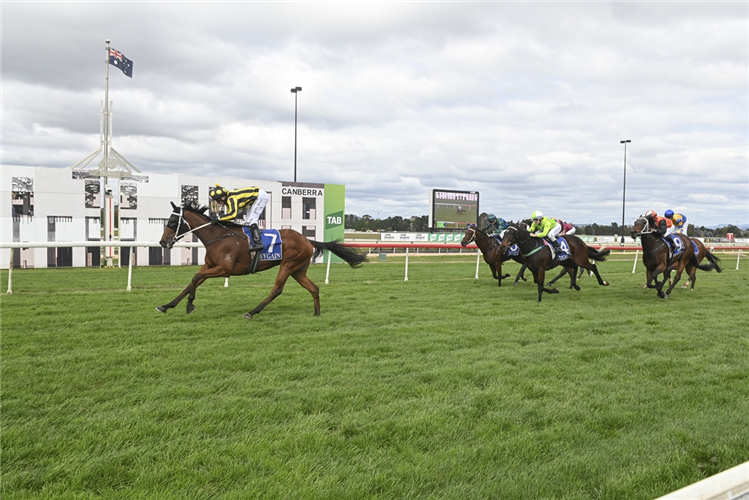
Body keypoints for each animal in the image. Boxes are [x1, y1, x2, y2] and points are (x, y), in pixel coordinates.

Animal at [156, 201, 366, 318]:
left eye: (172, 222)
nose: (162, 242)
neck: (218, 236)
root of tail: (307, 240)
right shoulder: (210, 265)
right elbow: (191, 282)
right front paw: (166, 306)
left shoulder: (224, 269)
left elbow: (195, 279)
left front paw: (190, 305)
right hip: (298, 270)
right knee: (314, 288)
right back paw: (317, 313)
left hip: (288, 265)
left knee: (276, 290)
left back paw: (252, 312)